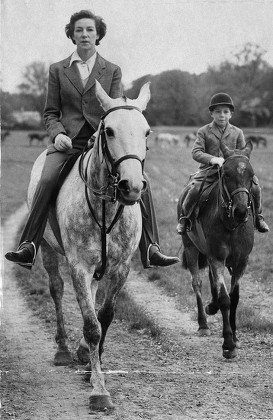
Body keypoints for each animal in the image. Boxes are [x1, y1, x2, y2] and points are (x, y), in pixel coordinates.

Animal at [27, 79, 151, 410]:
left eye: (146, 132)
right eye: (109, 131)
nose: (132, 187)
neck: (106, 203)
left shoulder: (120, 268)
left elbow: (104, 317)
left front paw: (93, 368)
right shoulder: (79, 266)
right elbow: (91, 325)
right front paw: (99, 390)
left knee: (92, 299)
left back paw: (82, 353)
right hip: (48, 250)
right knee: (56, 290)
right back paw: (63, 350)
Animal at [177, 140, 254, 358]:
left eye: (251, 175)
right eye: (226, 174)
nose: (241, 211)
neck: (230, 224)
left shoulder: (240, 262)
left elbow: (234, 298)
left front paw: (235, 336)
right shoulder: (217, 258)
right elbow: (225, 298)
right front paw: (228, 343)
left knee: (211, 280)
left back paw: (212, 307)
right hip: (191, 248)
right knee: (197, 283)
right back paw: (203, 323)